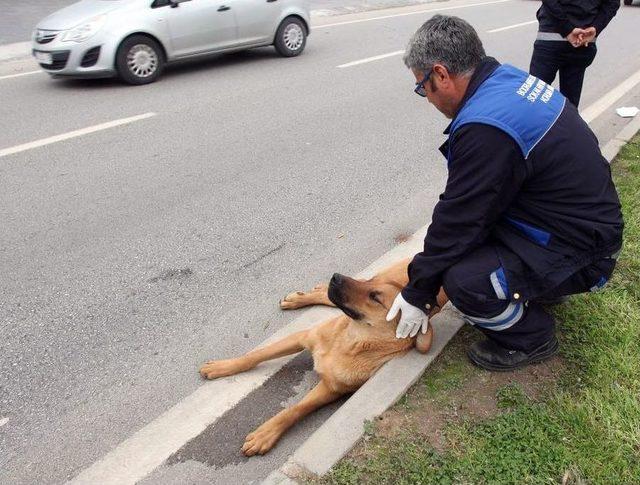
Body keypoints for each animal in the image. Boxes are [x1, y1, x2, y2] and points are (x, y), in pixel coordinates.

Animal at [199, 255, 444, 456]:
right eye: (371, 284)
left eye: (375, 297)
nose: (335, 277)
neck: (350, 341)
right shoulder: (302, 336)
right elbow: (255, 355)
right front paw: (223, 366)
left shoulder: (331, 389)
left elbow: (296, 409)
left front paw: (266, 433)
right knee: (329, 296)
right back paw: (302, 297)